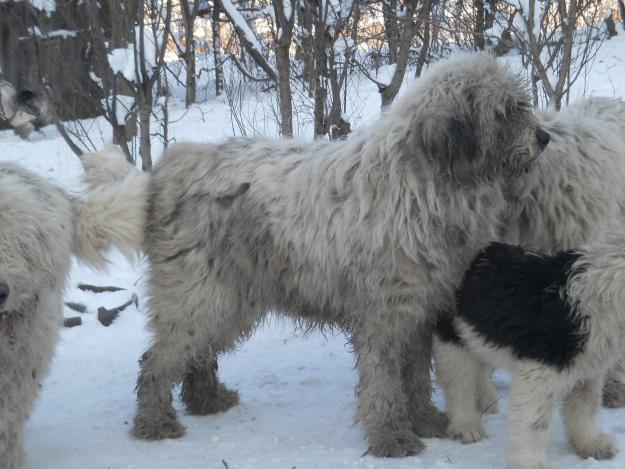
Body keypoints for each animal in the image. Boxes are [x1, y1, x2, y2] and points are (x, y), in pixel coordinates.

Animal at [100, 52, 548, 458]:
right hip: (197, 294)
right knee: (156, 361)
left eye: (521, 103)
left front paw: (425, 419)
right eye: (505, 111)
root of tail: (175, 165)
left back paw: (207, 399)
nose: (543, 138)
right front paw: (391, 437)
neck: (426, 182)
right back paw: (155, 422)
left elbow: (417, 374)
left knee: (200, 352)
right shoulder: (384, 313)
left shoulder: (421, 309)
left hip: (230, 298)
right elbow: (384, 380)